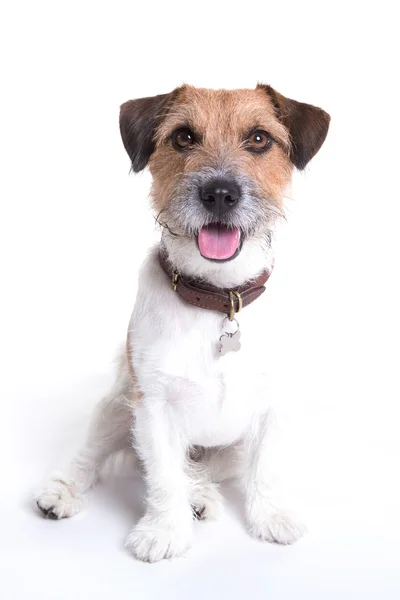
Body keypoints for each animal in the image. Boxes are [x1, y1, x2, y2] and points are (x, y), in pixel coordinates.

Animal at [36, 83, 330, 564]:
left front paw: (272, 517)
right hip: (116, 409)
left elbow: (266, 467)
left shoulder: (272, 406)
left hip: (226, 450)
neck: (218, 303)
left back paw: (202, 495)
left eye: (260, 138)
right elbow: (163, 475)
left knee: (201, 466)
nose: (220, 192)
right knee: (93, 457)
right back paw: (63, 492)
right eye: (184, 137)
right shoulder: (153, 405)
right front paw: (163, 531)